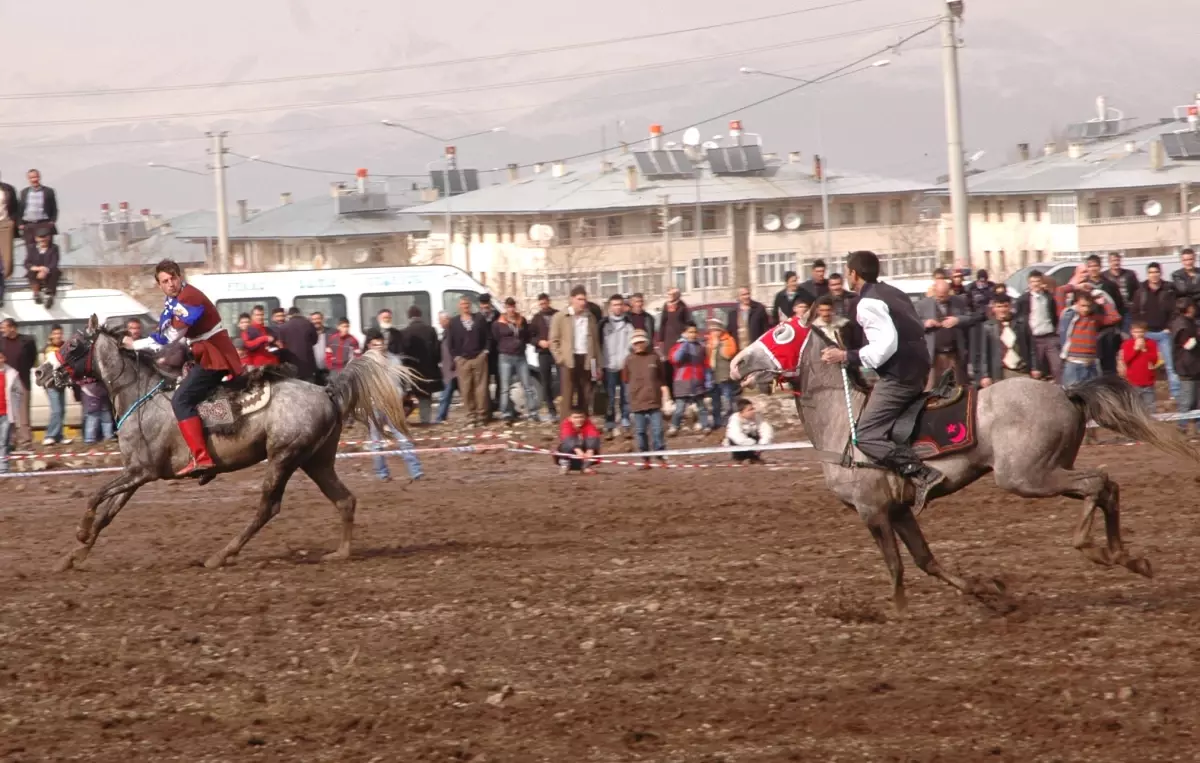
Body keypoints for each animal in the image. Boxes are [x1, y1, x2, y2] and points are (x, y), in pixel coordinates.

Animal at [38, 311, 417, 568]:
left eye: (73, 345)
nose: (41, 372)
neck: (141, 395)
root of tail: (326, 390)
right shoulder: (135, 474)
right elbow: (107, 512)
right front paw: (73, 556)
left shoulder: (142, 472)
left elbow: (95, 496)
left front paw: (80, 534)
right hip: (316, 460)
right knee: (344, 500)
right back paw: (340, 552)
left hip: (284, 457)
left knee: (268, 507)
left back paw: (222, 554)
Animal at [724, 316, 1195, 607]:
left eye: (781, 333)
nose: (736, 362)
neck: (846, 418)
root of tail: (1065, 391)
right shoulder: (899, 510)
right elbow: (925, 560)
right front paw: (990, 593)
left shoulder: (872, 510)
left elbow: (896, 565)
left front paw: (895, 612)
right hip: (1047, 469)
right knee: (1105, 486)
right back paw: (1126, 557)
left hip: (1027, 476)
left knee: (1098, 482)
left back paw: (1097, 550)